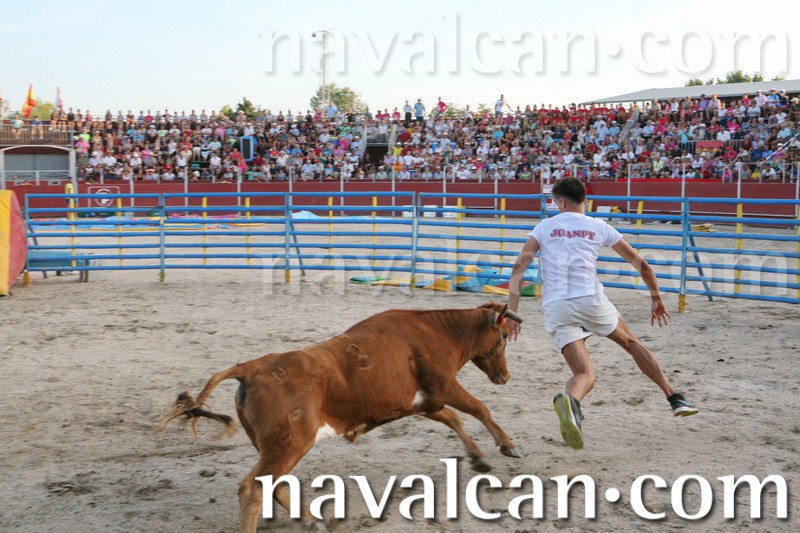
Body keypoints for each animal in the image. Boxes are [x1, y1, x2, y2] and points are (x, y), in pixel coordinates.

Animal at [159, 302, 523, 532]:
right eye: (504, 337)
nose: (505, 376)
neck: (437, 331)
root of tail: (249, 368)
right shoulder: (444, 385)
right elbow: (478, 408)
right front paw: (508, 445)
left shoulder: (423, 402)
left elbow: (454, 419)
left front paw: (478, 457)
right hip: (290, 443)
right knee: (254, 488)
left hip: (276, 446)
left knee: (273, 484)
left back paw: (313, 520)